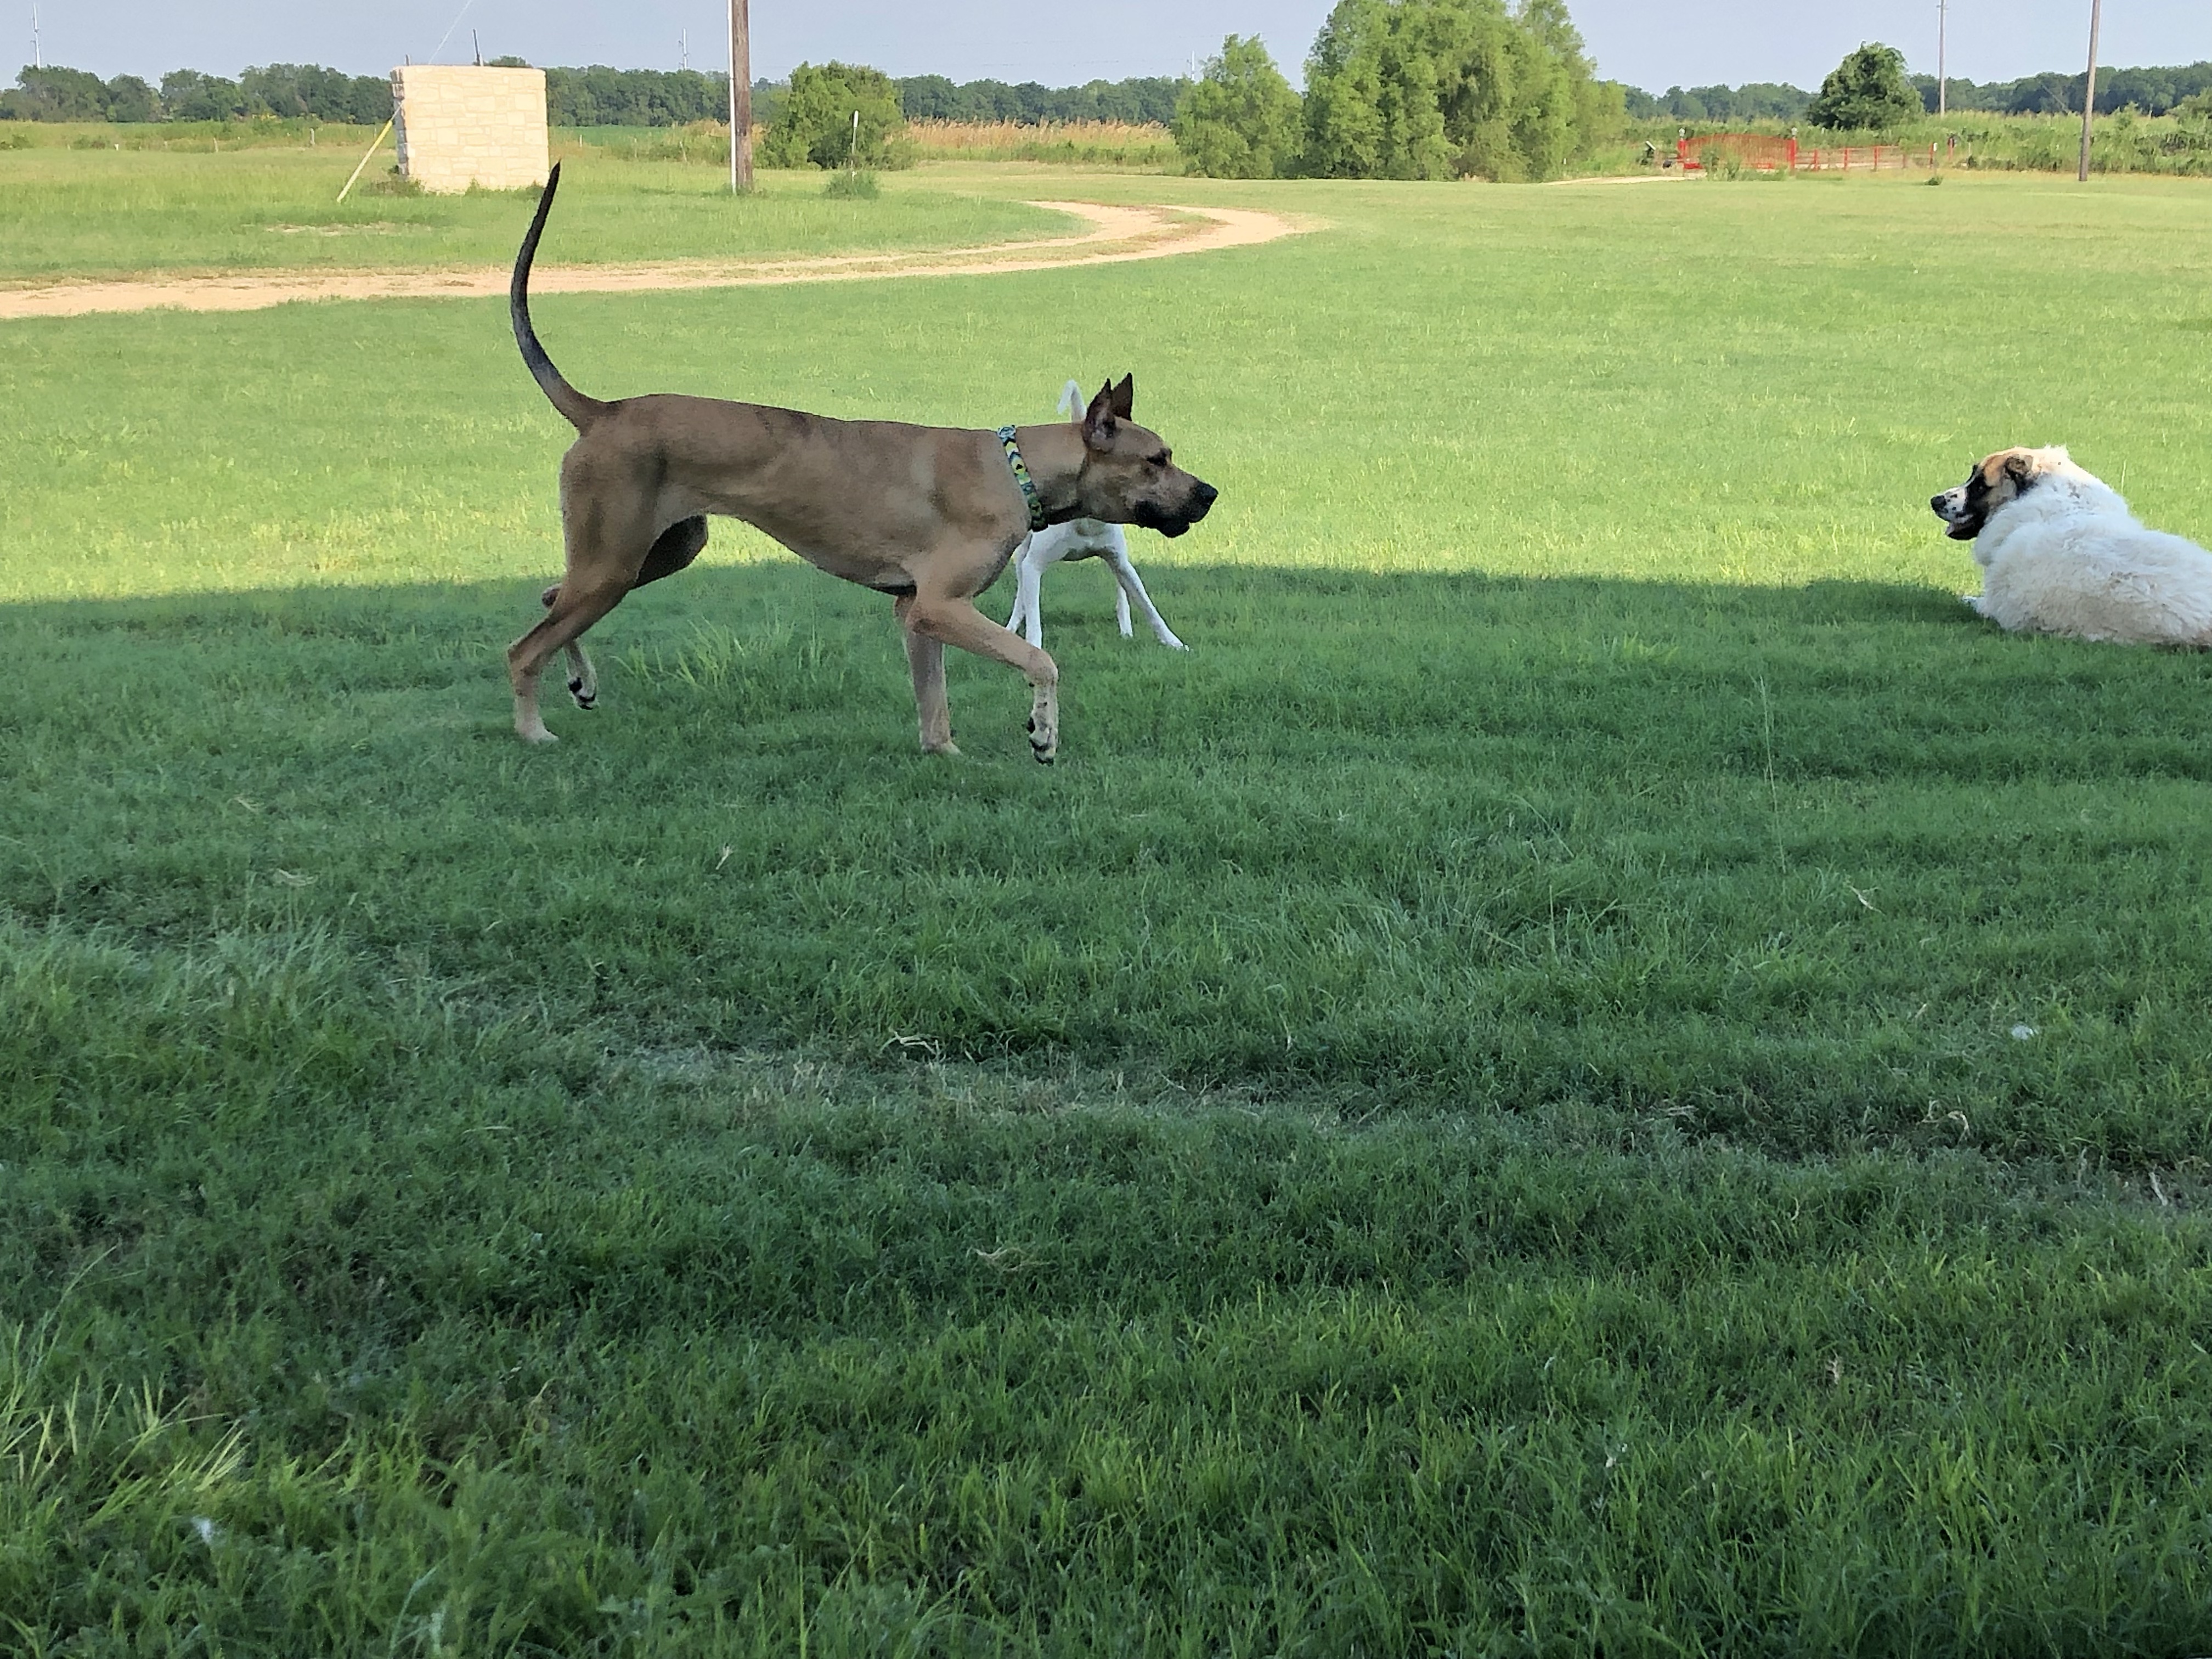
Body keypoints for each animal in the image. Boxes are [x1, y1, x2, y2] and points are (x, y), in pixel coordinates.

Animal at [1003, 380, 1188, 651]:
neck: (1087, 523)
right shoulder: (1033, 565)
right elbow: (1032, 613)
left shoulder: (1120, 561)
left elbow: (1147, 605)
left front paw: (1174, 643)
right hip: (1023, 553)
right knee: (1021, 593)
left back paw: (1126, 630)